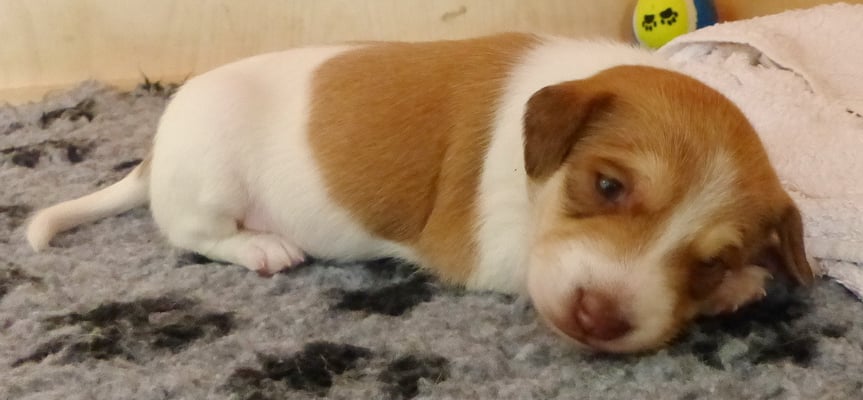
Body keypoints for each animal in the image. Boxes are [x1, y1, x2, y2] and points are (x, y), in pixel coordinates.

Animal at [26, 33, 815, 353]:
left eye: (710, 258)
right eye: (608, 185)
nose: (598, 320)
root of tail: (155, 155)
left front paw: (740, 283)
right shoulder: (489, 250)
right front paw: (743, 289)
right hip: (212, 177)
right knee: (193, 234)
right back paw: (263, 248)